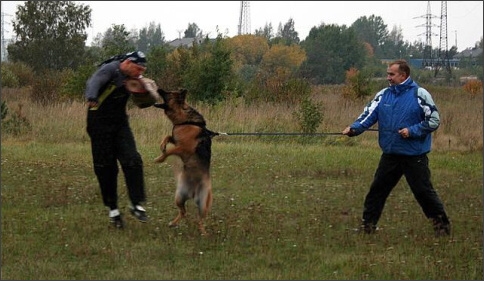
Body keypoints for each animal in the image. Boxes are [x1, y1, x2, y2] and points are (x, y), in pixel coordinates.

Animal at [153, 87, 217, 234]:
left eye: (169, 93)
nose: (158, 88)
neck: (184, 120)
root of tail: (192, 193)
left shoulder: (183, 148)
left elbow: (169, 151)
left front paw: (160, 158)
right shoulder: (176, 140)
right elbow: (167, 136)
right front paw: (162, 146)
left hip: (203, 203)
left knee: (200, 219)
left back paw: (203, 232)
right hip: (178, 198)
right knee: (184, 212)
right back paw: (173, 223)